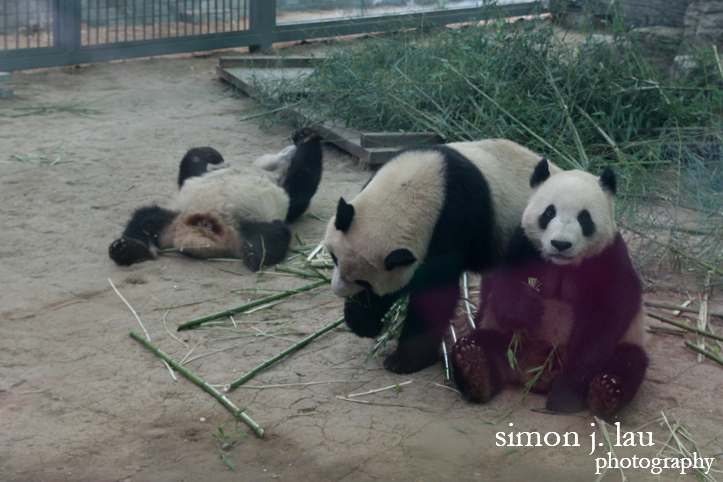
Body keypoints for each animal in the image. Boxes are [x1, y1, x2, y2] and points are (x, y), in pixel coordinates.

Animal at [108, 128, 322, 272]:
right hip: (173, 218)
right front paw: (209, 153)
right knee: (145, 217)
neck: (268, 169)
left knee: (275, 233)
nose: (289, 148)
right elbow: (190, 172)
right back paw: (128, 249)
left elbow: (301, 186)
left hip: (248, 224)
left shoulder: (285, 190)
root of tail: (203, 232)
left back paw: (254, 254)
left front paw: (306, 136)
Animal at [326, 137, 564, 374]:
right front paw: (363, 321)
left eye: (363, 281)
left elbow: (436, 294)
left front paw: (404, 360)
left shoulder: (453, 221)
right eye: (334, 258)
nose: (337, 289)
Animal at [452, 161, 652, 418]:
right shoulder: (523, 245)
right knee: (483, 343)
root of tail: (534, 373)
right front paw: (526, 308)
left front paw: (567, 392)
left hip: (628, 342)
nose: (561, 244)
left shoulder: (608, 258)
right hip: (503, 339)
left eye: (584, 217)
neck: (562, 263)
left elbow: (604, 320)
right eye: (549, 212)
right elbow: (502, 286)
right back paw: (474, 368)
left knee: (628, 362)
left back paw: (605, 393)